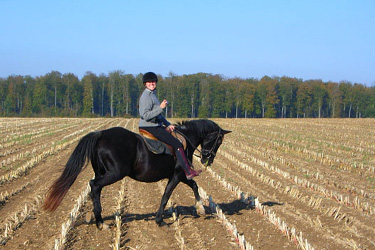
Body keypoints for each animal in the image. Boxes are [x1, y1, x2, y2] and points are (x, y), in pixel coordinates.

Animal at [44, 119, 232, 229]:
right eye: (219, 141)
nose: (208, 159)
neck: (184, 141)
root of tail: (101, 134)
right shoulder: (177, 175)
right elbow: (166, 196)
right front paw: (160, 220)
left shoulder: (180, 175)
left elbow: (194, 185)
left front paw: (201, 208)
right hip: (115, 173)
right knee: (94, 185)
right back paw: (100, 222)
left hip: (102, 172)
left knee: (94, 188)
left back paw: (94, 217)